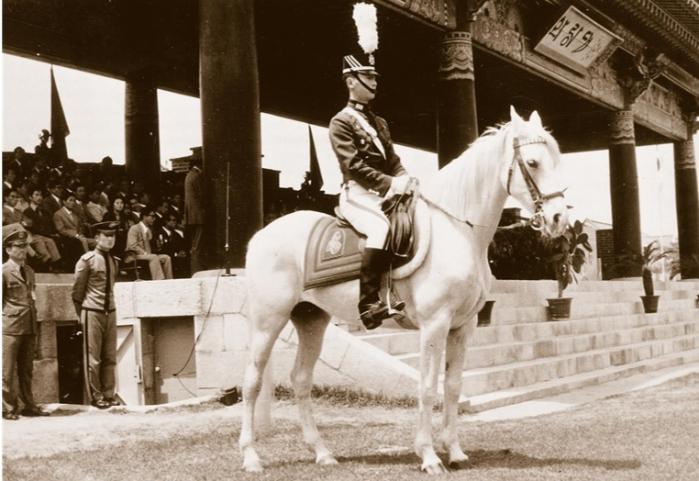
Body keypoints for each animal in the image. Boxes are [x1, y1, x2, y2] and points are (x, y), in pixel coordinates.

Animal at [239, 107, 568, 470]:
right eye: (534, 163)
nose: (559, 220)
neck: (458, 230)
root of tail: (261, 235)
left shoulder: (463, 326)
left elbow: (452, 386)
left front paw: (454, 451)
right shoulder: (435, 324)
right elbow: (427, 388)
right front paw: (429, 455)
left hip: (311, 320)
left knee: (301, 379)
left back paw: (322, 453)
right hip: (268, 320)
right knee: (252, 381)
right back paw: (251, 457)